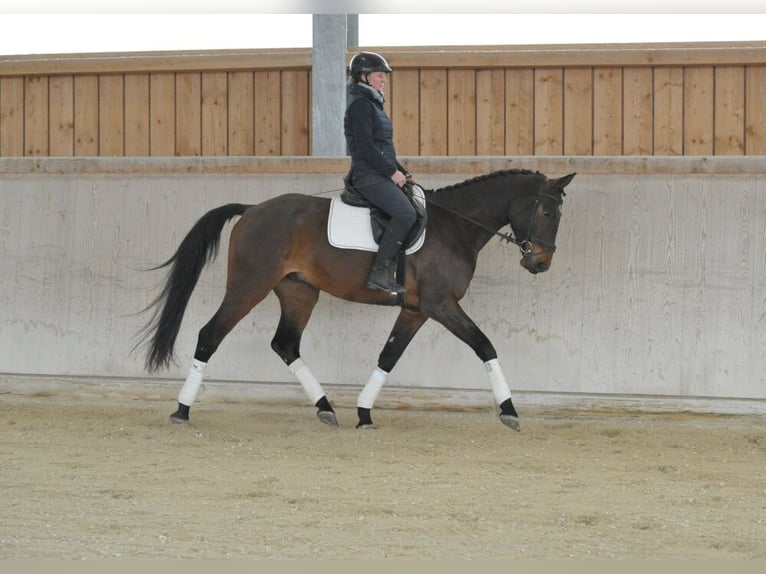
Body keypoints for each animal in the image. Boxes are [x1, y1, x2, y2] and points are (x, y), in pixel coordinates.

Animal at [138, 168, 575, 431]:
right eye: (548, 211)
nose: (541, 263)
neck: (456, 227)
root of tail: (252, 210)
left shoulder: (416, 311)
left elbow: (388, 356)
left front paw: (364, 413)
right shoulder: (441, 305)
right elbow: (485, 345)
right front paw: (509, 411)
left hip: (298, 292)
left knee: (285, 344)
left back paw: (326, 407)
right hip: (250, 285)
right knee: (210, 335)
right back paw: (181, 410)